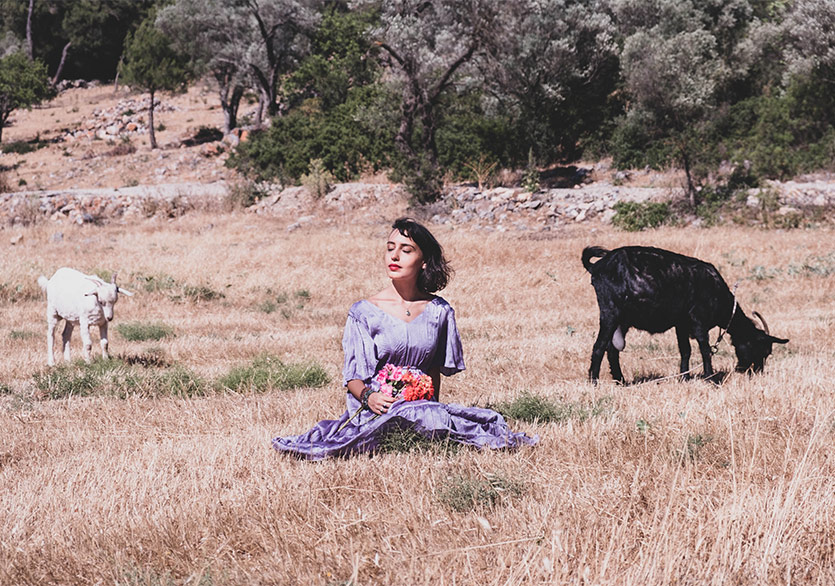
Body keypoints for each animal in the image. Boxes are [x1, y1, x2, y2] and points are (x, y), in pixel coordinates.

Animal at [584, 244, 788, 380]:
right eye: (762, 349)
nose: (757, 372)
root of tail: (597, 266)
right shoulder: (698, 321)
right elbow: (705, 349)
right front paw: (711, 378)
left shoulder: (681, 324)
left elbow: (686, 351)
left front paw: (684, 377)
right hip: (610, 313)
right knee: (599, 347)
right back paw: (594, 382)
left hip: (622, 321)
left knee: (612, 349)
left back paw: (620, 380)